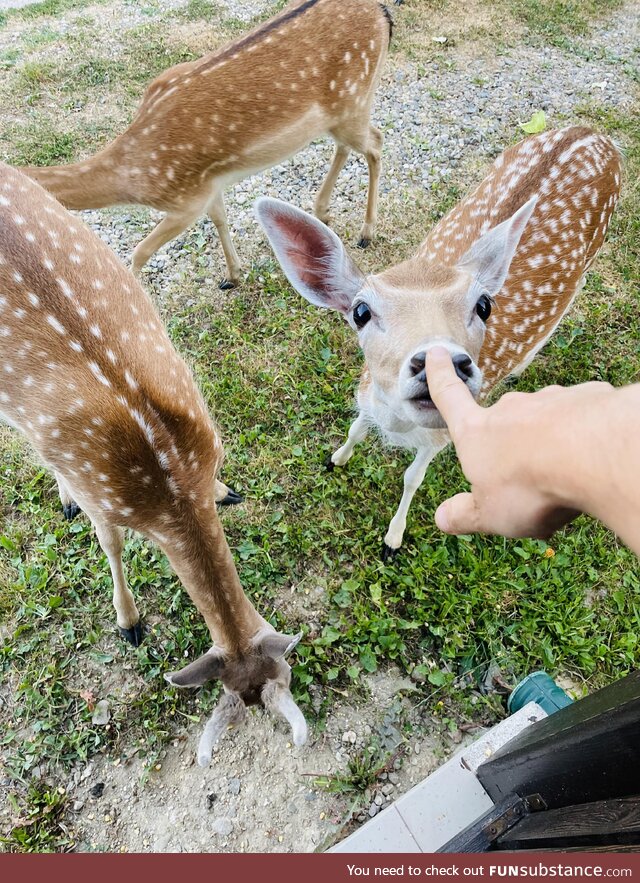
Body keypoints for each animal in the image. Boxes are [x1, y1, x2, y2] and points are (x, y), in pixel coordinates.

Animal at [21, 0, 390, 290]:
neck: (130, 174)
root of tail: (383, 13)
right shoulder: (209, 186)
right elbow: (220, 219)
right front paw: (233, 275)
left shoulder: (186, 201)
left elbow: (140, 252)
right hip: (346, 110)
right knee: (351, 145)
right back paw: (322, 210)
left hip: (353, 100)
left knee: (376, 142)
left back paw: (367, 232)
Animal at [258, 126, 624, 560]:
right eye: (360, 311)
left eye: (484, 305)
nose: (442, 361)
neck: (398, 426)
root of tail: (594, 135)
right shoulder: (368, 394)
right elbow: (356, 428)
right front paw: (336, 459)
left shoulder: (443, 435)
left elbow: (412, 477)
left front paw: (393, 540)